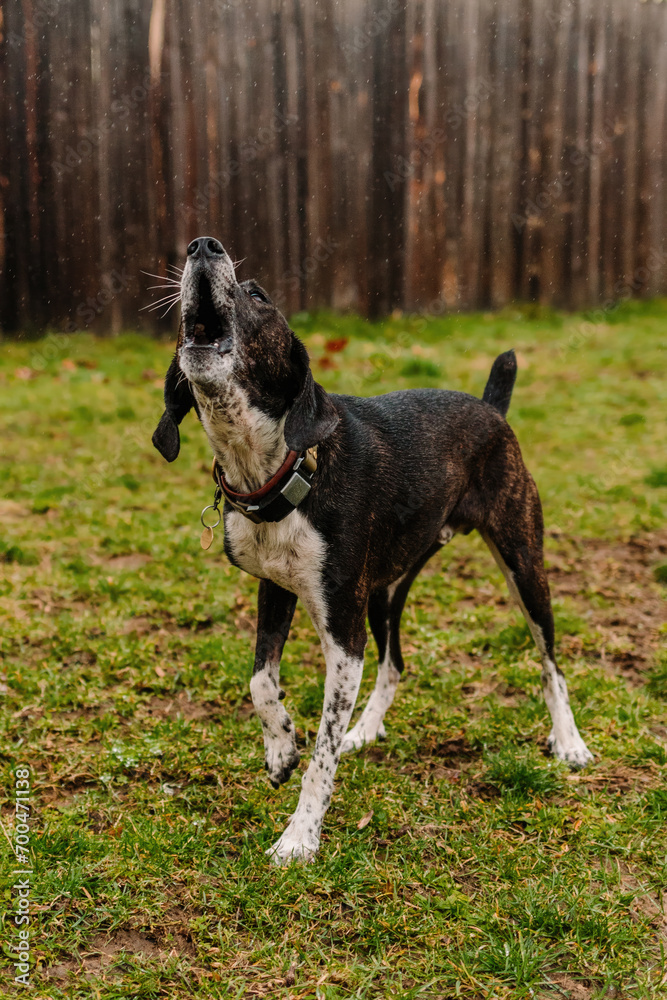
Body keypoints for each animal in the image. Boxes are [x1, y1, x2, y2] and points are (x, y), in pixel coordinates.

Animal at [153, 236, 596, 868]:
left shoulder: (344, 630)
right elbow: (261, 682)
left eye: (258, 295)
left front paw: (299, 837)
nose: (203, 245)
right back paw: (367, 727)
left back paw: (568, 741)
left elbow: (323, 752)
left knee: (549, 660)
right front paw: (280, 750)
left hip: (522, 563)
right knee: (396, 661)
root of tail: (491, 408)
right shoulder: (277, 590)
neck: (286, 467)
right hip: (387, 589)